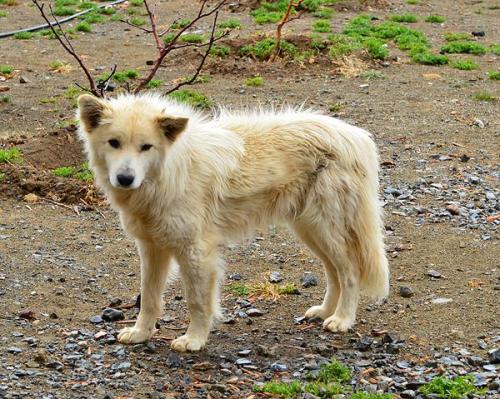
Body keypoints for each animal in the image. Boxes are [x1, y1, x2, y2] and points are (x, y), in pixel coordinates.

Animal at [78, 93, 388, 354]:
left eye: (146, 147)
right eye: (114, 143)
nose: (125, 178)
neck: (168, 173)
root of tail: (356, 136)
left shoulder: (196, 252)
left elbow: (197, 302)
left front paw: (194, 340)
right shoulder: (151, 248)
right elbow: (149, 298)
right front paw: (141, 334)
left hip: (325, 229)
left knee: (349, 273)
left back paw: (342, 319)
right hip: (310, 230)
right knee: (334, 273)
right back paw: (325, 312)